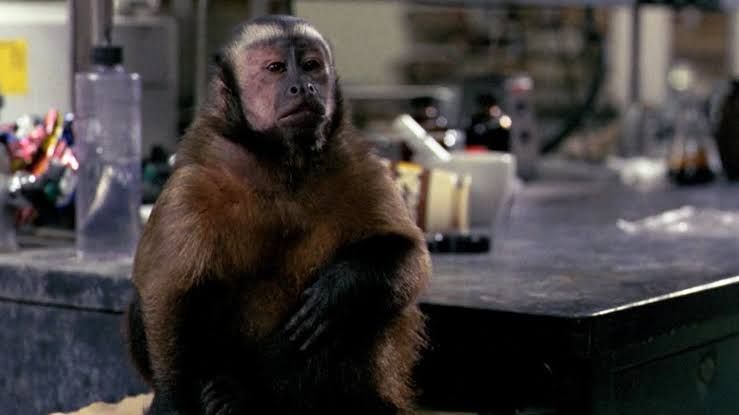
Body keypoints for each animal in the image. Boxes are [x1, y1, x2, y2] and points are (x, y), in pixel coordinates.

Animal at [125, 15, 431, 415]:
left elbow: (407, 254)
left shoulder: (358, 162)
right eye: (276, 69)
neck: (279, 164)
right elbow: (169, 291)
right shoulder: (193, 182)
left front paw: (338, 292)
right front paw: (173, 402)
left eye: (311, 65)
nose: (303, 86)